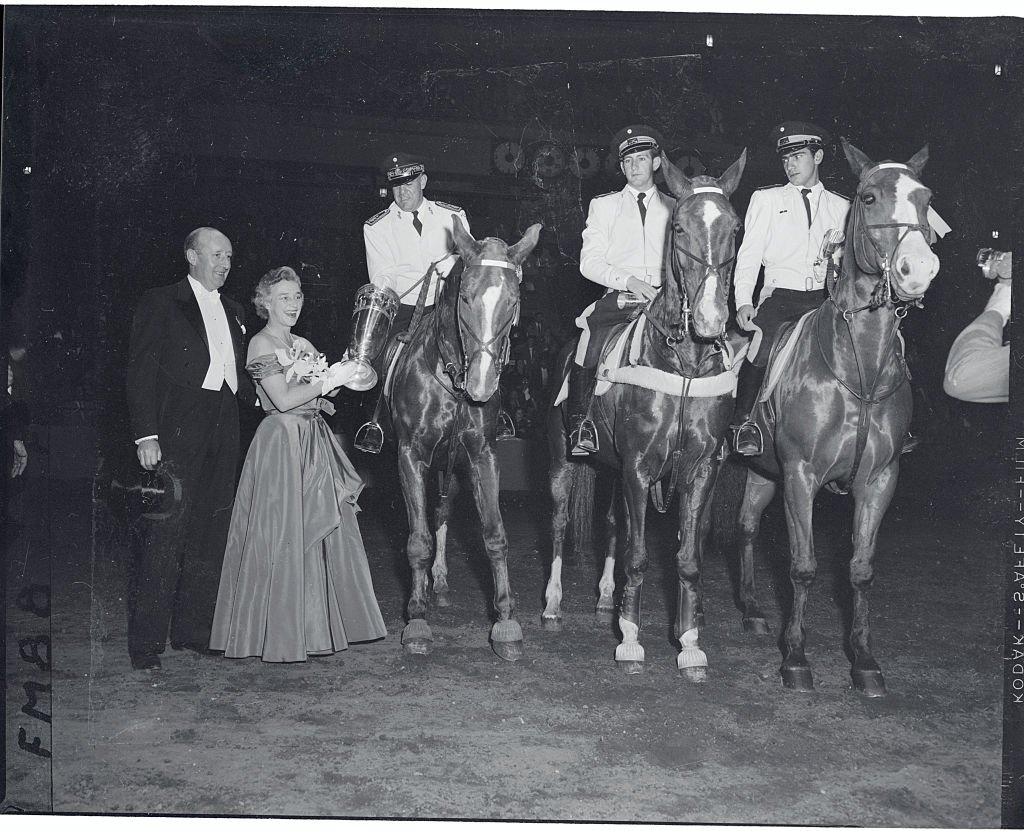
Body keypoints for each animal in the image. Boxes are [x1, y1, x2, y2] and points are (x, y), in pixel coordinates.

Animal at [385, 217, 544, 659]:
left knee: (441, 512)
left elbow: (494, 535)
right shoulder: (410, 456)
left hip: (451, 469)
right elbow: (417, 539)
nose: (482, 385)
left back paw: (438, 578)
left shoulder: (481, 455)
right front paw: (416, 619)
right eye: (467, 297)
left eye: (513, 301)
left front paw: (505, 621)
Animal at [544, 149, 753, 683]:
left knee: (613, 524)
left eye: (736, 227)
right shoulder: (639, 467)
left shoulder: (697, 470)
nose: (710, 320)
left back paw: (605, 600)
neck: (682, 364)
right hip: (563, 461)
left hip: (614, 472)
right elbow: (639, 557)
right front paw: (631, 641)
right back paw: (552, 604)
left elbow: (687, 559)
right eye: (677, 227)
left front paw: (690, 644)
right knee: (558, 521)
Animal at [737, 139, 942, 695]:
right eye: (868, 198)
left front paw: (864, 660)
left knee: (746, 527)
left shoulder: (880, 479)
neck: (859, 365)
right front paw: (795, 657)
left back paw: (751, 610)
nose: (919, 269)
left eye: (925, 198)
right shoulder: (801, 477)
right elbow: (803, 567)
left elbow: (861, 569)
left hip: (761, 473)